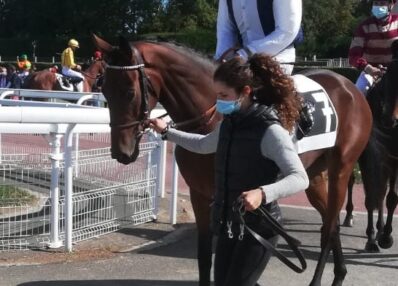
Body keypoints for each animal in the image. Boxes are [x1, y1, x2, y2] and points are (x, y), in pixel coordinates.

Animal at [93, 34, 374, 286]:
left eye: (129, 92)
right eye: (103, 88)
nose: (121, 152)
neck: (212, 117)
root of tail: (348, 85)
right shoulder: (201, 194)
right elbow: (205, 257)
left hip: (341, 168)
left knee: (329, 227)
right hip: (314, 176)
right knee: (330, 222)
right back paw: (340, 274)